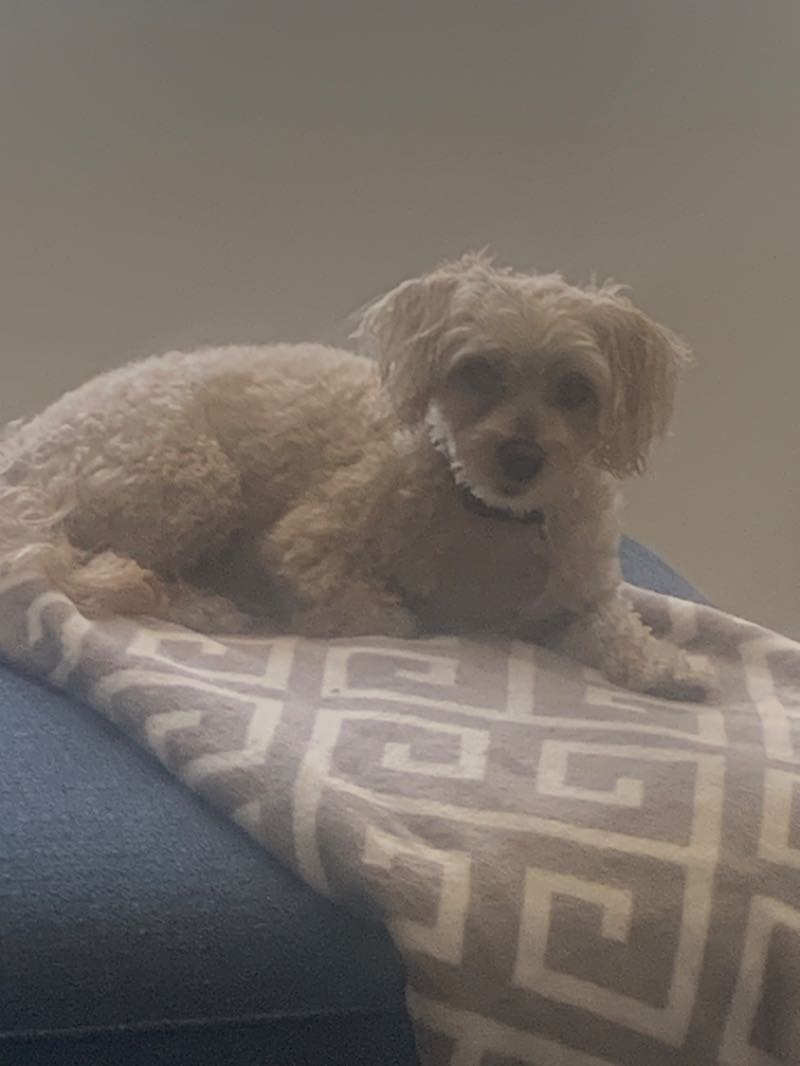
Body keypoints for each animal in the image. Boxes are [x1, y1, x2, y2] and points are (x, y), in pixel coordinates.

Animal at [0, 253, 715, 700]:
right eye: (478, 371)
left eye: (576, 390)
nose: (520, 457)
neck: (491, 517)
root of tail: (24, 452)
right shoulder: (307, 541)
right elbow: (373, 611)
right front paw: (373, 613)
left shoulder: (579, 593)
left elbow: (617, 626)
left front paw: (670, 666)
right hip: (193, 477)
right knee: (102, 567)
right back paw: (209, 604)